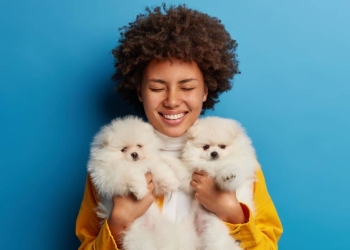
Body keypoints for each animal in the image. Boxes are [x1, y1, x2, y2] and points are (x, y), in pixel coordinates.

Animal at [87, 116, 183, 249]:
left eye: (139, 146)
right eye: (124, 149)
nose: (134, 154)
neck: (137, 164)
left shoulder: (150, 165)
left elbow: (158, 167)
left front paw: (170, 181)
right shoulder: (111, 174)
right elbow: (132, 173)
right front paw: (140, 190)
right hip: (137, 239)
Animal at [182, 116, 258, 250]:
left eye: (222, 146)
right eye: (206, 147)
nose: (214, 153)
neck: (214, 165)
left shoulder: (239, 168)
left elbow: (231, 170)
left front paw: (227, 175)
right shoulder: (193, 176)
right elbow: (182, 173)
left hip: (215, 228)